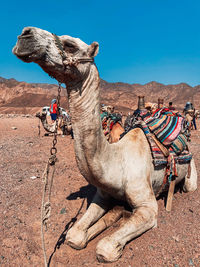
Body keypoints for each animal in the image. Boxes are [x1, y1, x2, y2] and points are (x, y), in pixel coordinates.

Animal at [13, 27, 198, 264]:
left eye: (70, 45)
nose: (25, 34)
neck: (117, 162)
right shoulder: (102, 194)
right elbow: (74, 235)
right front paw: (110, 216)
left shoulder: (148, 207)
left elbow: (105, 248)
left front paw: (115, 230)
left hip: (190, 172)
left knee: (189, 185)